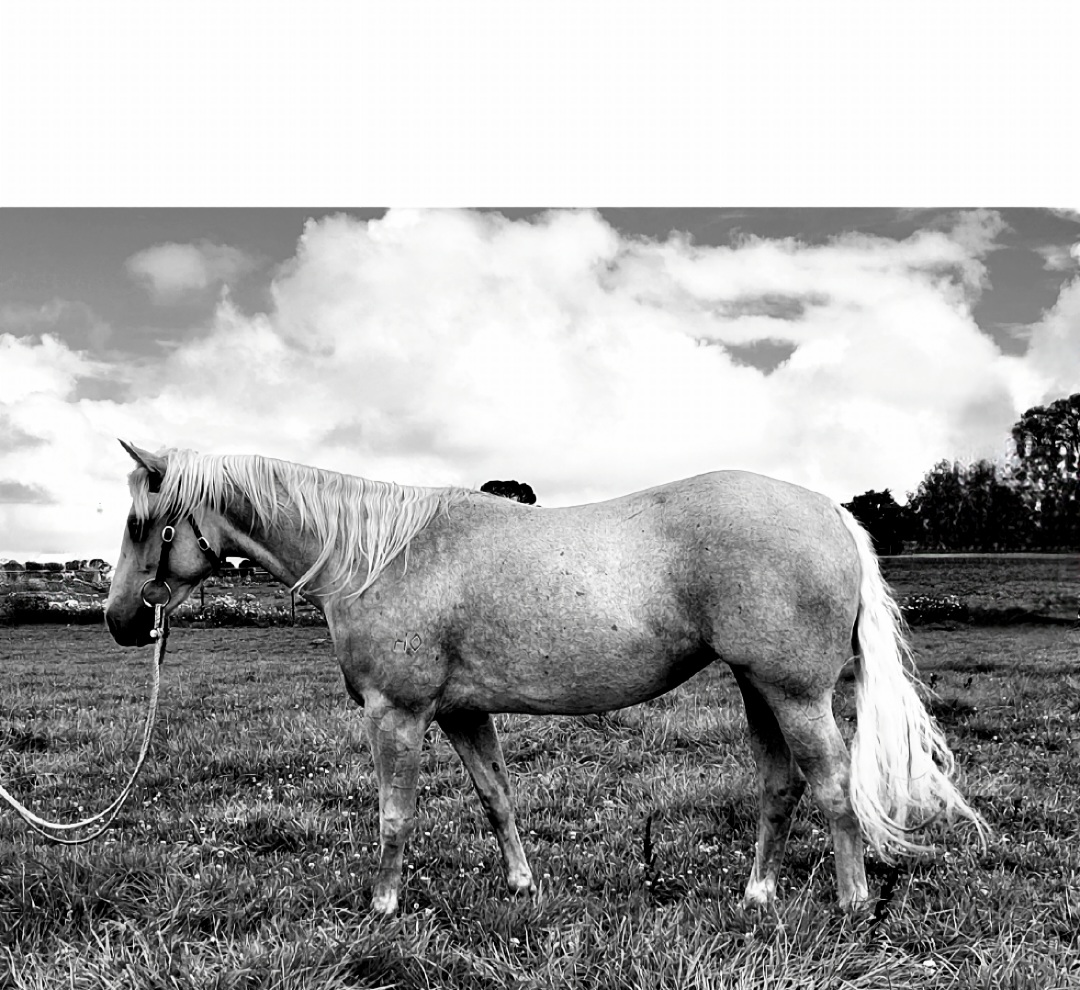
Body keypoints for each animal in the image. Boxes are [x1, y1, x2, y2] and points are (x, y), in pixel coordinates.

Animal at [105, 441, 984, 915]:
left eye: (144, 522)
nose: (120, 621)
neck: (379, 555)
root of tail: (830, 511)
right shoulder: (461, 714)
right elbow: (497, 800)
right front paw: (522, 885)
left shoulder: (398, 714)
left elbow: (394, 817)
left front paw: (383, 905)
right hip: (756, 689)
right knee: (780, 788)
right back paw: (757, 895)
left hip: (795, 694)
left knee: (831, 787)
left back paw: (853, 900)